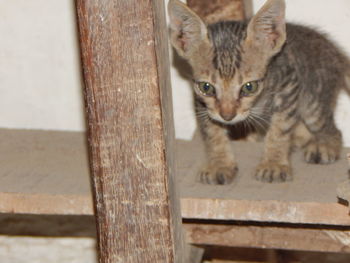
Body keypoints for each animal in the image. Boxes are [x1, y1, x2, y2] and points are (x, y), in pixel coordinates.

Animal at [167, 0, 350, 185]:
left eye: (249, 87)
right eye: (206, 87)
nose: (227, 116)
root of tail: (336, 53)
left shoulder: (289, 85)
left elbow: (279, 130)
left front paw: (273, 164)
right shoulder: (202, 103)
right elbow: (212, 132)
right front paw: (220, 164)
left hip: (313, 101)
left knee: (332, 129)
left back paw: (324, 145)